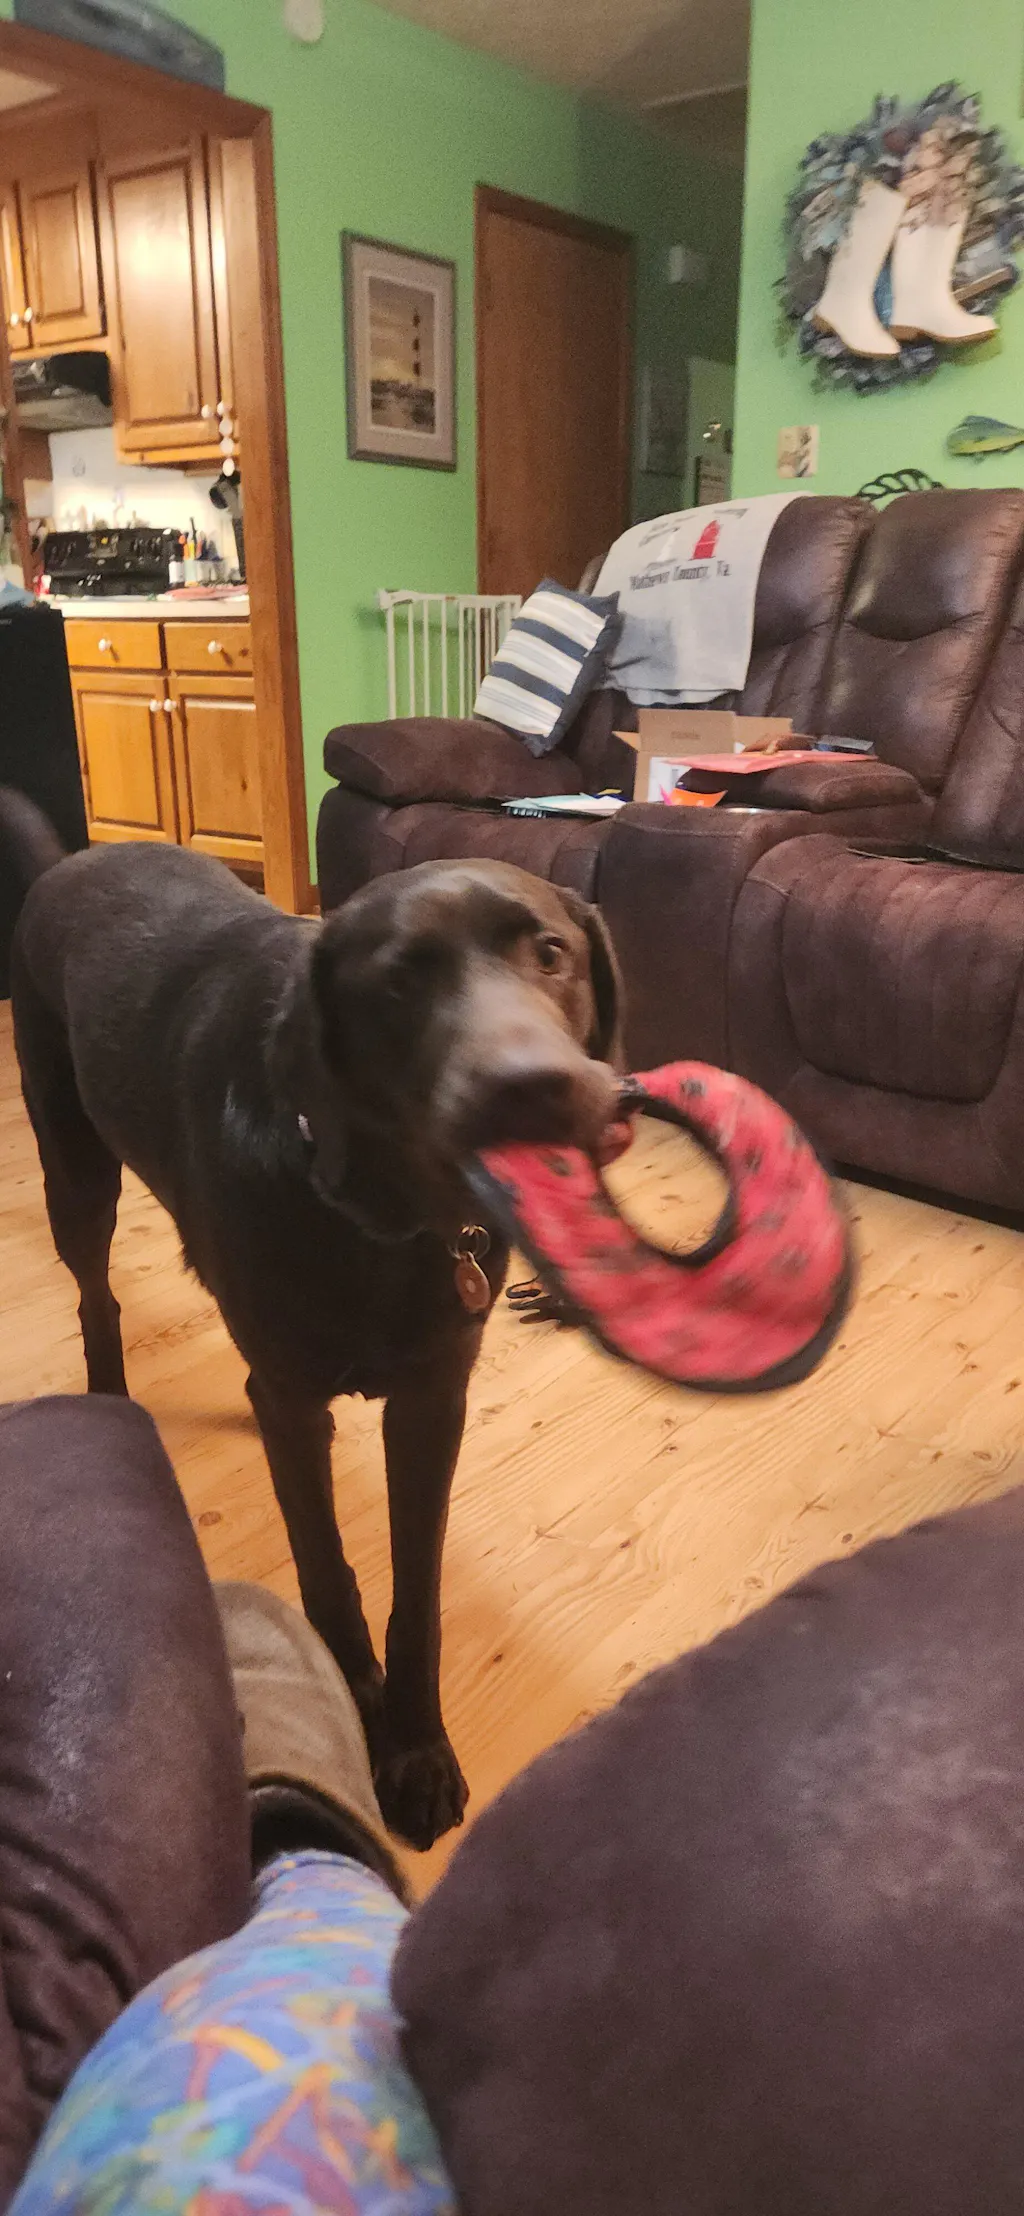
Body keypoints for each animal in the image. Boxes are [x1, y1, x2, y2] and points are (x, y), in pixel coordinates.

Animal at [1, 794, 622, 1848]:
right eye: (399, 983)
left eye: (551, 952)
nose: (534, 1086)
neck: (382, 1219)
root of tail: (67, 863)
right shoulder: (296, 1401)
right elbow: (327, 1572)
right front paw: (351, 1697)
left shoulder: (431, 1399)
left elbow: (418, 1593)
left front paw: (414, 1749)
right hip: (74, 1165)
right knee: (96, 1293)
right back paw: (111, 1396)